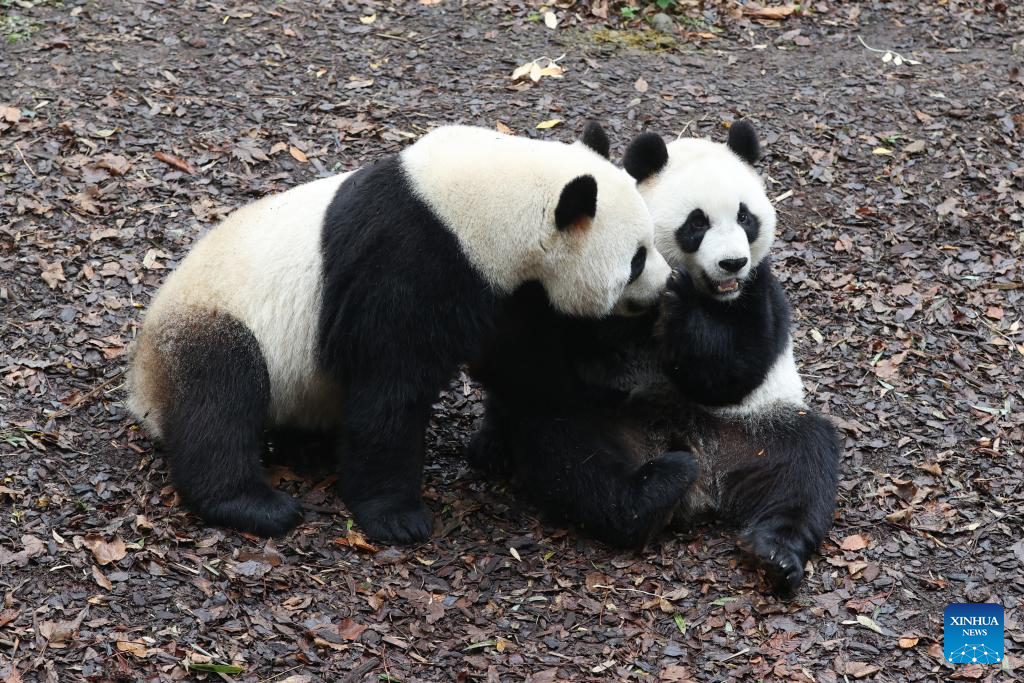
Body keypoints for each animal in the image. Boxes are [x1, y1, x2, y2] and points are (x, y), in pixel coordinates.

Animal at [125, 124, 671, 544]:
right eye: (636, 258)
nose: (667, 285)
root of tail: (141, 390)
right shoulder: (413, 262)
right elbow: (390, 384)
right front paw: (397, 518)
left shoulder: (507, 291)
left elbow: (525, 369)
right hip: (212, 320)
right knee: (220, 395)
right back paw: (254, 505)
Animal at [468, 121, 839, 593]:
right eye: (697, 222)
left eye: (745, 217)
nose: (732, 263)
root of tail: (704, 478)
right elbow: (550, 362)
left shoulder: (758, 291)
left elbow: (735, 370)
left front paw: (681, 311)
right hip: (609, 423)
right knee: (572, 453)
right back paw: (645, 498)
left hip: (752, 430)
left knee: (805, 461)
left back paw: (775, 552)